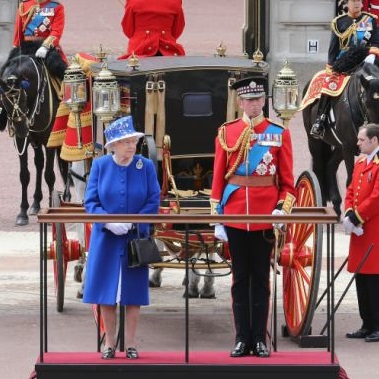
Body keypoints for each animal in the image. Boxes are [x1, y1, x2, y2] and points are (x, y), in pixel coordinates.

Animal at [0, 42, 67, 226]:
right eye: (4, 101)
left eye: (22, 97)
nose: (21, 129)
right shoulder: (21, 141)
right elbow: (24, 175)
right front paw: (22, 212)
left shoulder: (50, 139)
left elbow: (50, 175)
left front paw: (52, 211)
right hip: (35, 141)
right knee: (39, 163)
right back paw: (36, 203)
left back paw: (67, 197)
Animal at [304, 61, 379, 217]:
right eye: (367, 103)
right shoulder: (348, 147)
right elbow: (351, 179)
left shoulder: (347, 146)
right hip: (315, 141)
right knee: (319, 167)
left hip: (339, 147)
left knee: (330, 166)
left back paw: (336, 205)